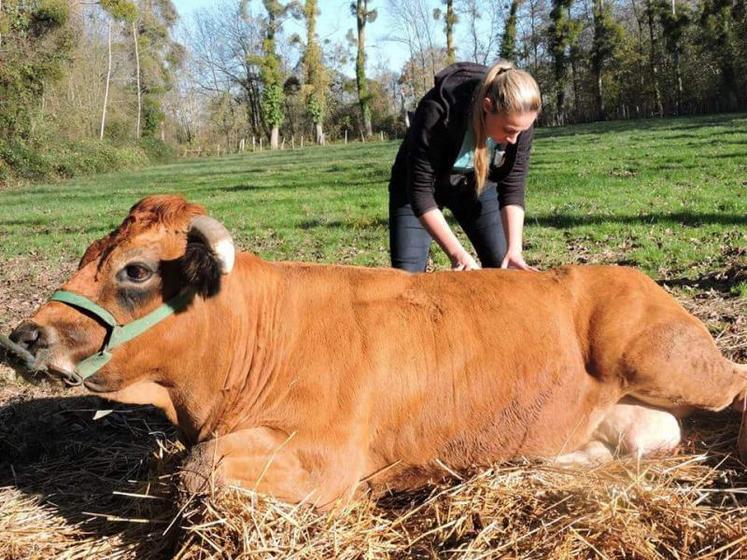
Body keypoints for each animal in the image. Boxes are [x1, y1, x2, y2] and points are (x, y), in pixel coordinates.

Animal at [4, 197, 747, 508]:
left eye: (134, 271)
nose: (24, 335)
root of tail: (628, 274)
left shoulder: (327, 455)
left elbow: (194, 475)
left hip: (670, 360)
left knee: (737, 383)